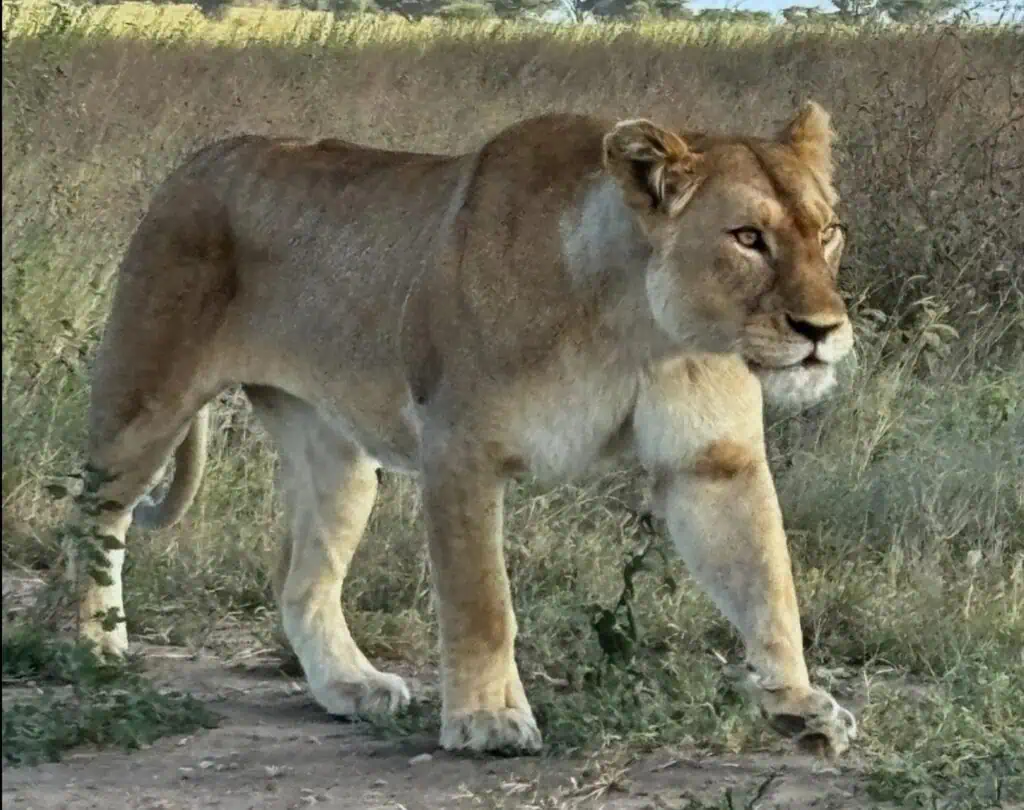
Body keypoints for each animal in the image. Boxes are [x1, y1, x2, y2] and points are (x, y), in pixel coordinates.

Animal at [64, 101, 858, 759]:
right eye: (747, 237)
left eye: (827, 233)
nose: (822, 330)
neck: (640, 326)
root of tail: (204, 156)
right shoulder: (460, 449)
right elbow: (482, 603)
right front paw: (488, 720)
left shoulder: (713, 463)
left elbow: (767, 584)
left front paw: (797, 703)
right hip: (146, 399)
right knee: (92, 518)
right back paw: (91, 647)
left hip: (336, 459)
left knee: (300, 583)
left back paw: (349, 686)